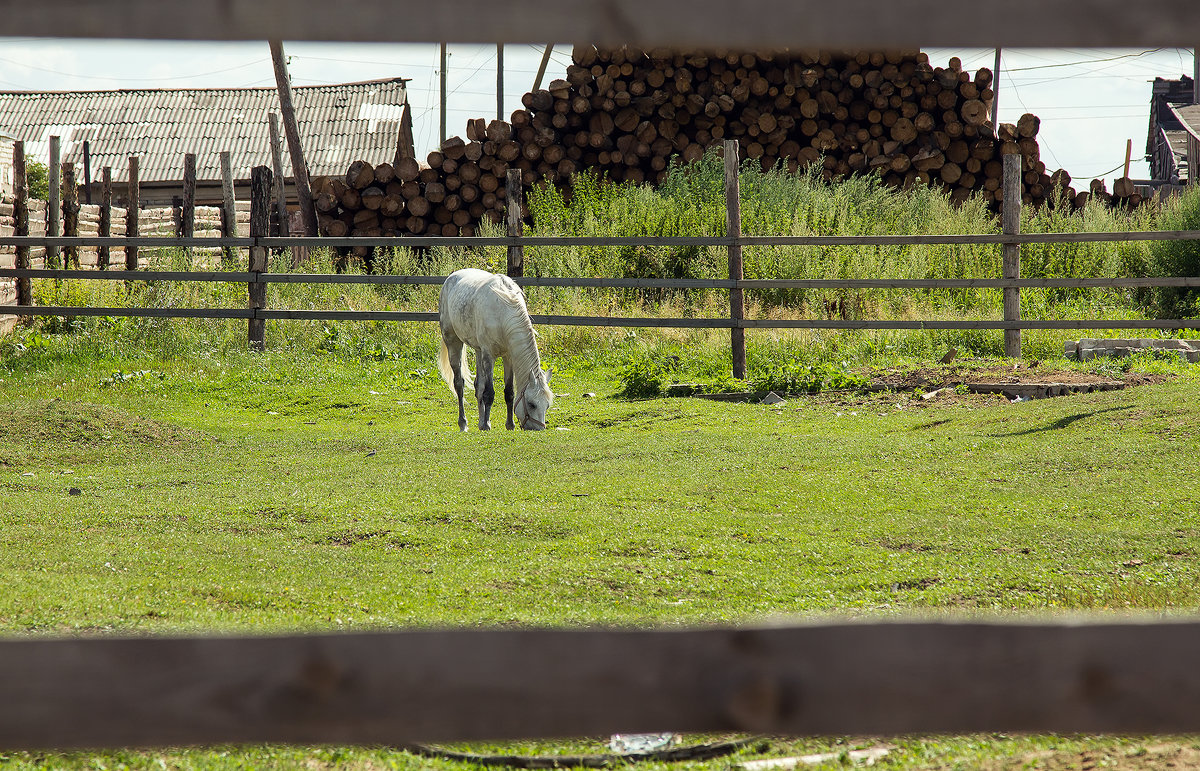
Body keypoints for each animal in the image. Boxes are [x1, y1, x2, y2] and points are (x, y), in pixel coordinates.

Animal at [439, 266, 554, 429]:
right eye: (532, 404)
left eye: (547, 405)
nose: (538, 429)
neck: (502, 313)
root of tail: (451, 278)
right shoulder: (489, 355)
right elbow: (489, 393)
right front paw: (487, 425)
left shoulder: (508, 357)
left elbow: (509, 392)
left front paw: (509, 425)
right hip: (453, 342)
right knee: (459, 384)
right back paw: (464, 423)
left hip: (478, 350)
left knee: (478, 386)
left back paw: (480, 422)